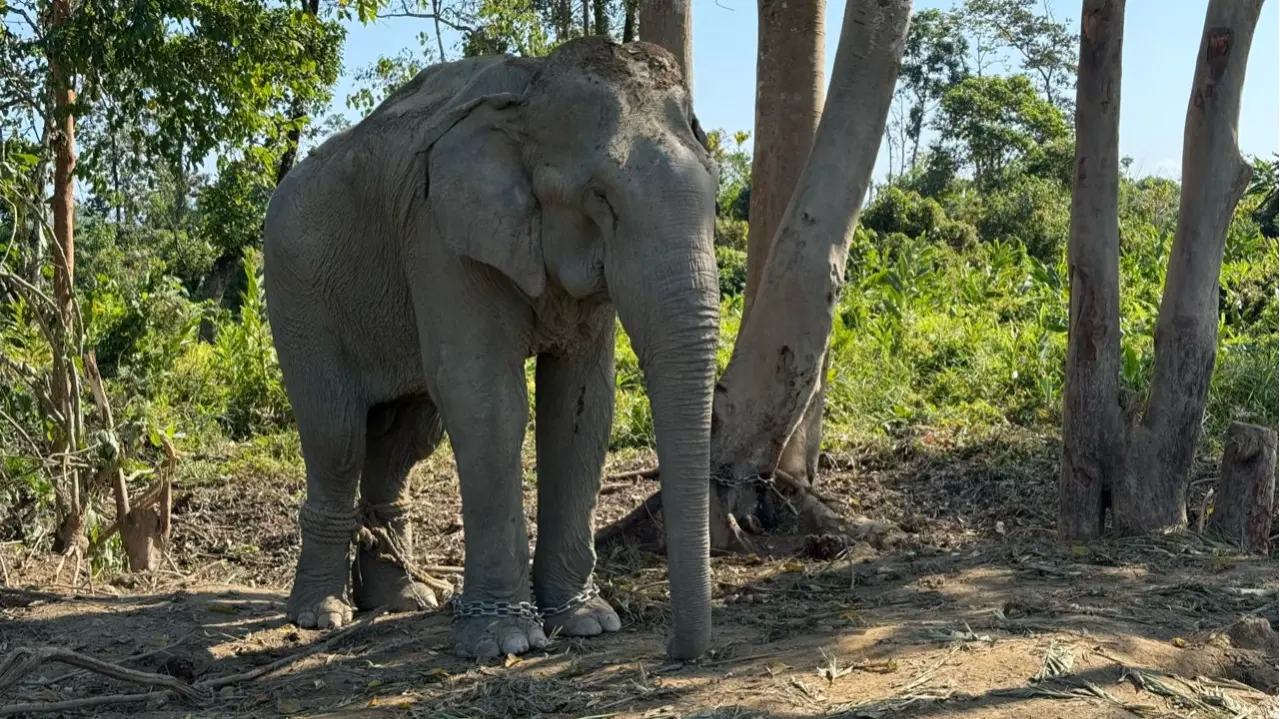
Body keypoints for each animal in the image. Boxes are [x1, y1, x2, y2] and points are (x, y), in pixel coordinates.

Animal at [261, 36, 720, 660]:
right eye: (600, 198)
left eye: (717, 193)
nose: (677, 651)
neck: (530, 90)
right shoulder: (439, 235)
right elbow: (486, 399)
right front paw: (508, 642)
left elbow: (582, 405)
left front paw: (588, 622)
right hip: (297, 292)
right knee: (337, 435)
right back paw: (320, 614)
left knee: (405, 439)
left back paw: (403, 601)